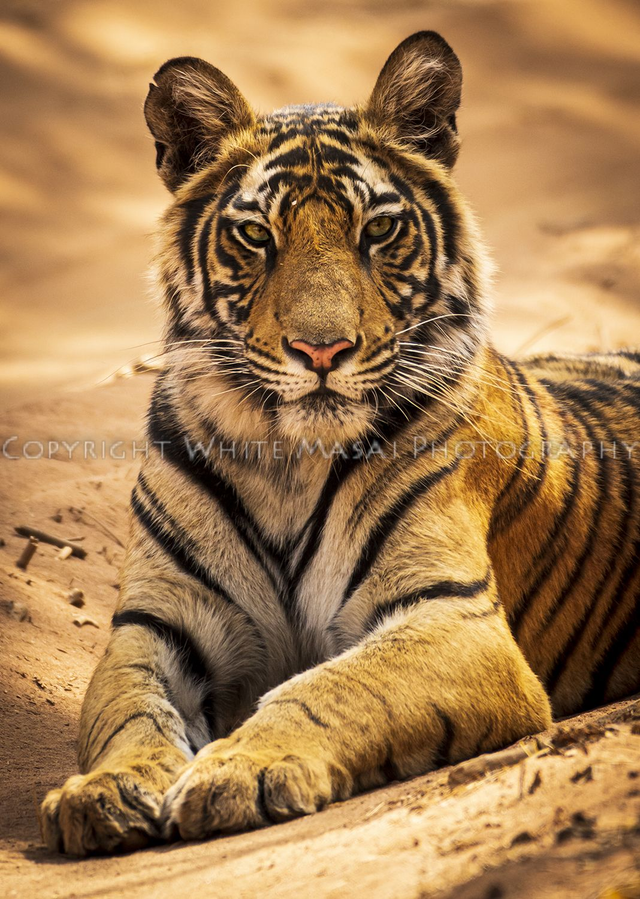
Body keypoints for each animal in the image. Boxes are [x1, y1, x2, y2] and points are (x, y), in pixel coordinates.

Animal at [40, 31, 640, 857]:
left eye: (378, 231)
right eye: (255, 236)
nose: (321, 350)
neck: (287, 460)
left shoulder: (450, 616)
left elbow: (332, 686)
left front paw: (243, 770)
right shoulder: (156, 626)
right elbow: (126, 711)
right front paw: (103, 791)